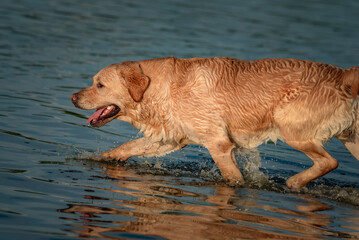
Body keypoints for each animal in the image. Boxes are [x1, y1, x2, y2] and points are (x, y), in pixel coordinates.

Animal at [71, 57, 359, 188]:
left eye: (99, 85)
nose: (72, 97)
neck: (161, 89)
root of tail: (343, 75)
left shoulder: (218, 144)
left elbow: (232, 177)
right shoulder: (170, 137)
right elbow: (127, 147)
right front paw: (101, 159)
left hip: (293, 130)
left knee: (329, 162)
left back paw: (294, 182)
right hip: (352, 138)